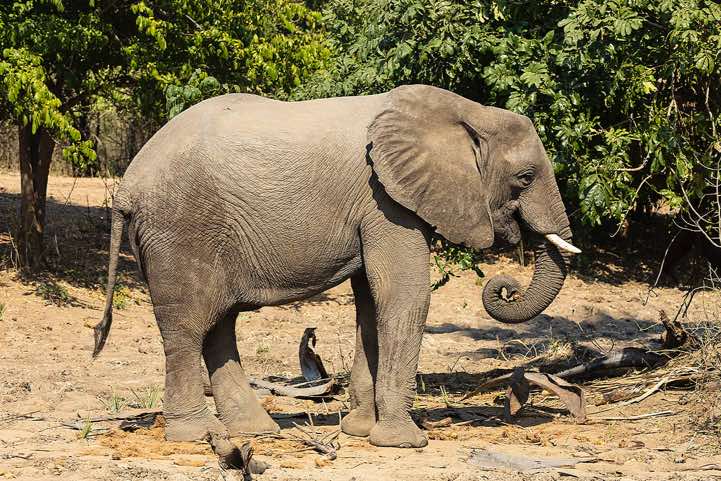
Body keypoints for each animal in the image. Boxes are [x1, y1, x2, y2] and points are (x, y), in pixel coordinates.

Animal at [93, 84, 581, 448]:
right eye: (524, 178)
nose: (506, 286)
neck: (467, 112)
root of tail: (127, 185)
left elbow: (370, 304)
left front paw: (360, 431)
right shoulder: (386, 200)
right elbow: (403, 296)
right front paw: (403, 442)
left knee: (218, 326)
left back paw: (256, 431)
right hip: (180, 232)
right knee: (188, 328)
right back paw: (196, 435)